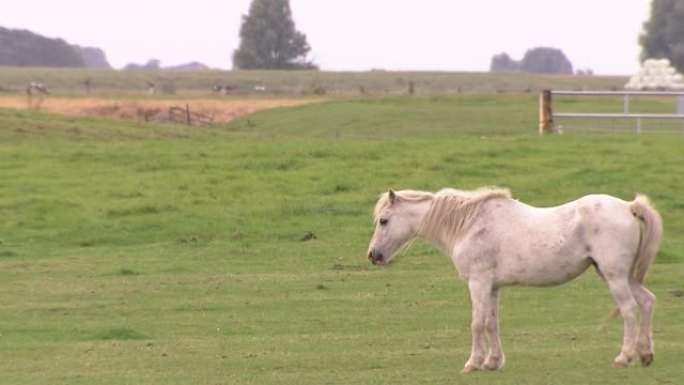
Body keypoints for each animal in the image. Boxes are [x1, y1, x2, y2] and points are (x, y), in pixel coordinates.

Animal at [368, 188, 664, 370]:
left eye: (383, 220)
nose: (373, 255)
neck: (469, 224)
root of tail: (628, 207)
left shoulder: (478, 283)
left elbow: (477, 323)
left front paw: (473, 363)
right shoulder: (492, 287)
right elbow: (492, 323)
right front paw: (493, 362)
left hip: (615, 277)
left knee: (629, 310)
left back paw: (624, 357)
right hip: (620, 275)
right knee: (648, 302)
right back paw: (646, 354)